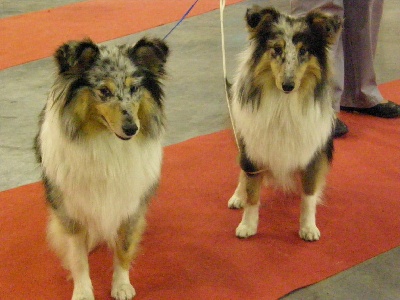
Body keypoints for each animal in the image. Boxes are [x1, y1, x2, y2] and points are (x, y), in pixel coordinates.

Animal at [34, 38, 169, 300]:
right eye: (104, 91)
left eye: (134, 89)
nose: (132, 128)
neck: (106, 141)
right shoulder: (71, 210)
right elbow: (78, 258)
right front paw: (83, 292)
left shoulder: (129, 206)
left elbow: (123, 249)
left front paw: (121, 286)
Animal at [227, 6, 342, 241]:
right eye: (277, 49)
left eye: (304, 51)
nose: (288, 85)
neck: (284, 103)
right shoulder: (253, 151)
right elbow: (252, 192)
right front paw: (247, 225)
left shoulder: (312, 154)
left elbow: (308, 195)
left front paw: (308, 228)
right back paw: (237, 196)